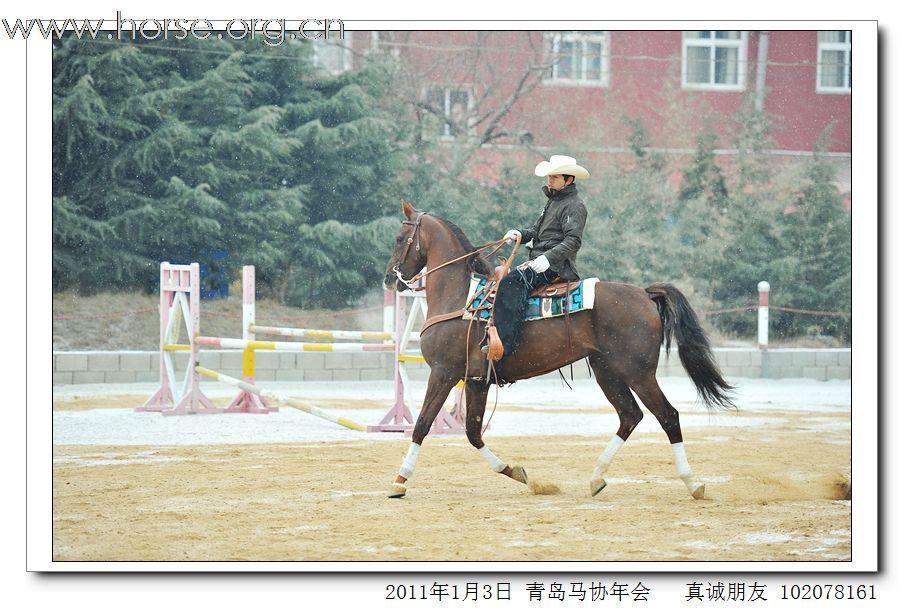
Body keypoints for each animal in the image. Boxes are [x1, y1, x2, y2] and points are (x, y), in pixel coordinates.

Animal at [382, 203, 736, 500]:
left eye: (399, 238)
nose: (389, 278)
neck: (461, 300)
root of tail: (645, 294)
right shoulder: (476, 380)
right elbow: (472, 432)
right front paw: (518, 473)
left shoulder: (444, 373)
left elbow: (423, 424)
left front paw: (400, 481)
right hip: (608, 372)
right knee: (630, 416)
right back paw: (596, 478)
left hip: (639, 373)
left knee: (667, 416)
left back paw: (693, 483)